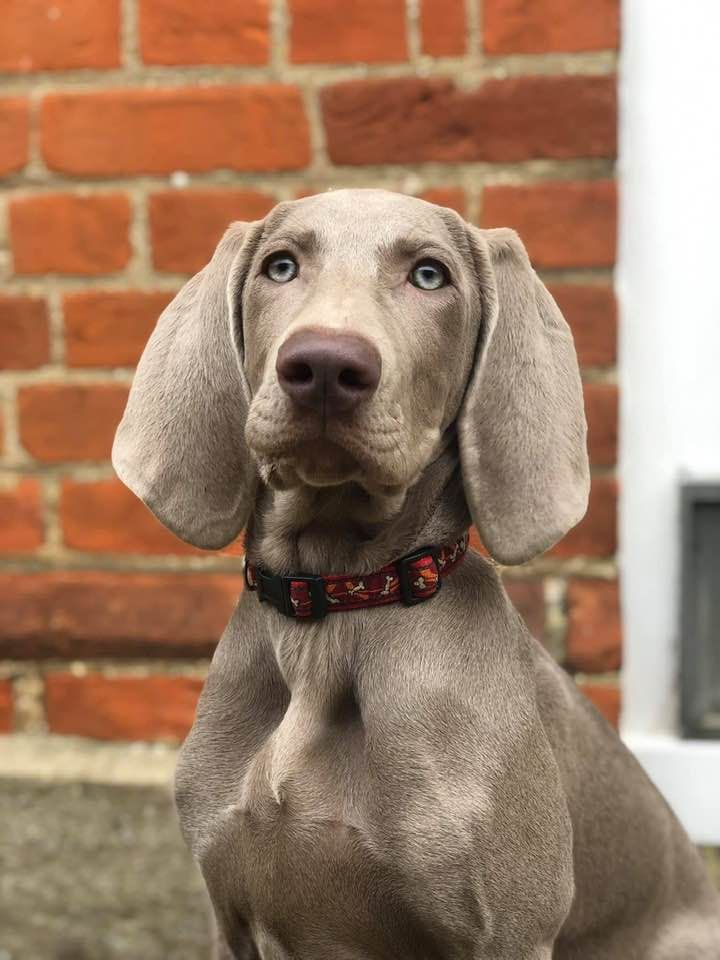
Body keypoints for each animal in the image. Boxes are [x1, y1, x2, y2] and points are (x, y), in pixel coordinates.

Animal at [113, 189, 720, 959]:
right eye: (280, 265)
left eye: (430, 276)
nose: (325, 367)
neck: (336, 606)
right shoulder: (231, 919)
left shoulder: (509, 934)